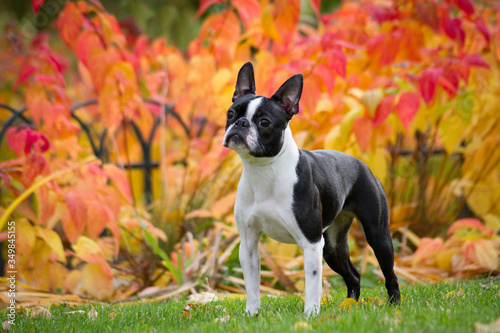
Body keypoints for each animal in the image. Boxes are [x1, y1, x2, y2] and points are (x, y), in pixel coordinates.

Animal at [221, 61, 400, 314]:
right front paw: (252, 314)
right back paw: (349, 306)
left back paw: (394, 304)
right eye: (231, 114)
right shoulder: (248, 243)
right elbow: (252, 284)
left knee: (390, 274)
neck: (264, 170)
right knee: (353, 275)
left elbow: (312, 283)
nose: (240, 123)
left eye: (264, 122)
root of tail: (361, 163)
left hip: (377, 236)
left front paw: (311, 314)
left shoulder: (311, 243)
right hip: (333, 246)